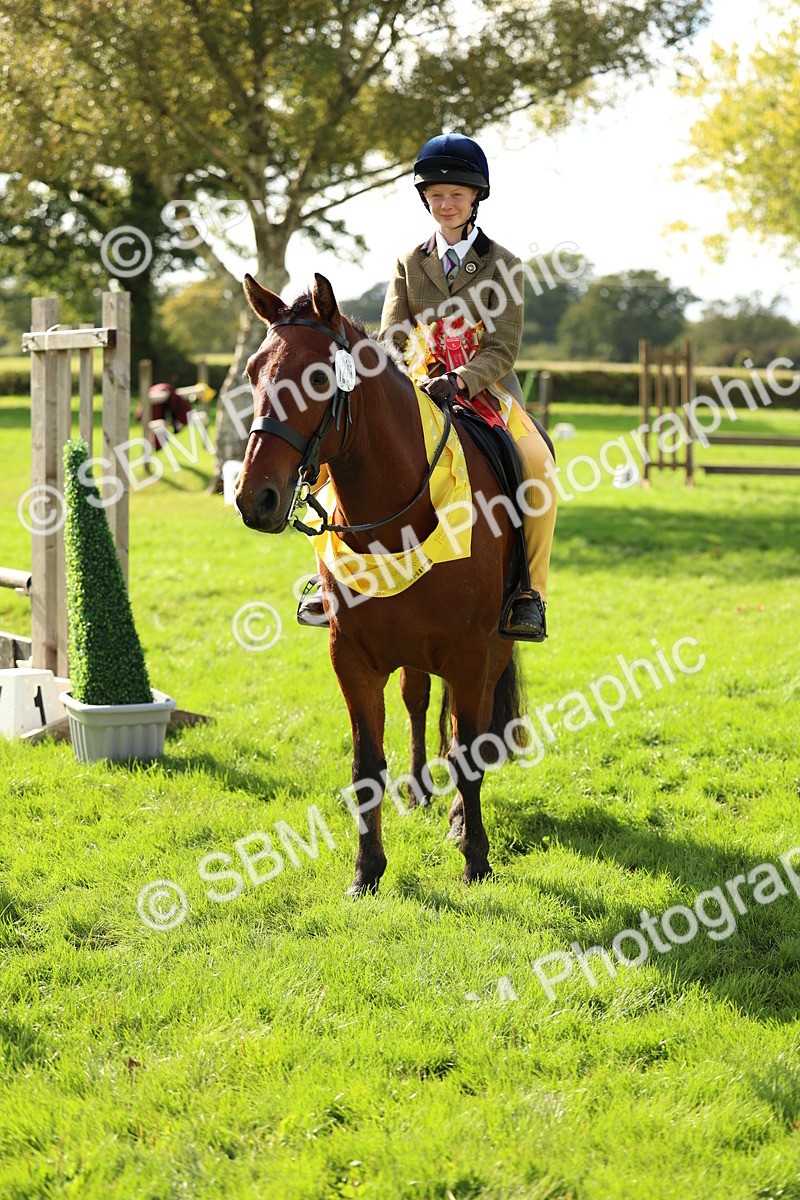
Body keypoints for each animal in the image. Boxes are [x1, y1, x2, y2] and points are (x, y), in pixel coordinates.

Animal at [235, 271, 529, 895]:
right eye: (251, 371)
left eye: (319, 378)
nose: (255, 498)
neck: (395, 517)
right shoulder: (351, 656)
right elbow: (365, 764)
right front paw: (366, 870)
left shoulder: (471, 654)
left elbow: (468, 752)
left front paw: (475, 857)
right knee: (418, 699)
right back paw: (418, 790)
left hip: (494, 647)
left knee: (474, 731)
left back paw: (457, 817)